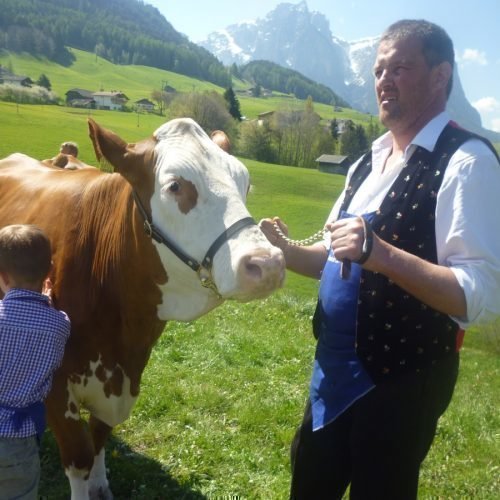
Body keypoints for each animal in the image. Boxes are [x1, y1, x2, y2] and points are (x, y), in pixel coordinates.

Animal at [0, 118, 286, 500]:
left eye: (245, 182)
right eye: (175, 186)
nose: (267, 264)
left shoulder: (126, 376)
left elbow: (99, 436)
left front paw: (101, 485)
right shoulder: (54, 384)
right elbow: (79, 456)